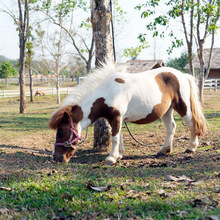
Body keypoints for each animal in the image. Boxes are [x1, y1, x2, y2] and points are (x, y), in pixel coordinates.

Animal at [48, 61, 206, 164]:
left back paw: (191, 148)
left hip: (183, 106)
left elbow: (114, 138)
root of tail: (183, 75)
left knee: (191, 124)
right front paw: (119, 155)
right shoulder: (115, 119)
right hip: (166, 110)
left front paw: (111, 158)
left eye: (61, 131)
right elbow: (119, 136)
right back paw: (164, 150)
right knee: (171, 127)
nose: (56, 158)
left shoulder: (117, 117)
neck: (107, 91)